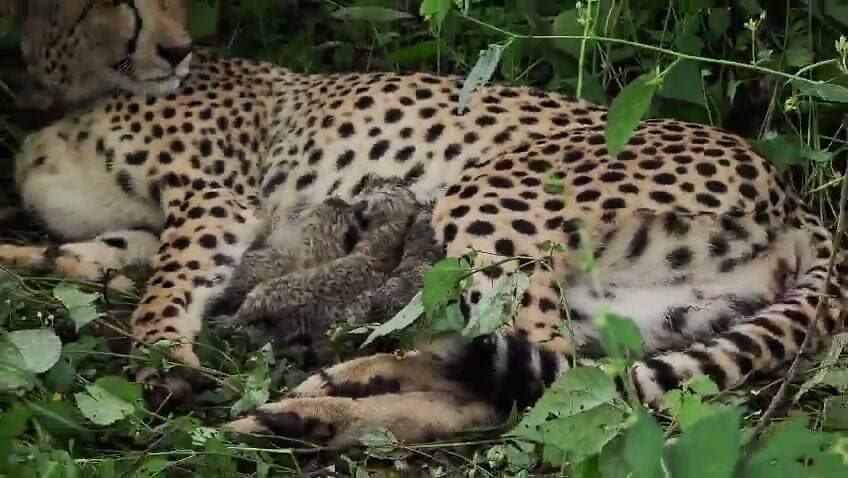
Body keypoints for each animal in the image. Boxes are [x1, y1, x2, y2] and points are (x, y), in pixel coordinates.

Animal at [3, 39, 846, 447]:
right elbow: (75, 257)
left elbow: (167, 290)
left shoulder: (215, 198)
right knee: (521, 383)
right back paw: (318, 407)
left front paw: (163, 363)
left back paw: (328, 396)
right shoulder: (136, 233)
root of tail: (793, 194)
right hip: (635, 305)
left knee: (546, 381)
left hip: (496, 195)